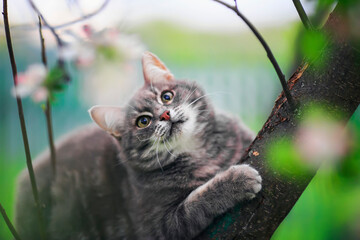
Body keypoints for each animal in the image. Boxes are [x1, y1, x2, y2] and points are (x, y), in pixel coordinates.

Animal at [14, 51, 262, 239]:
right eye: (143, 121)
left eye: (167, 96)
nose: (165, 114)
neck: (200, 151)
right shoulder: (161, 225)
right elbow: (198, 202)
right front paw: (237, 180)